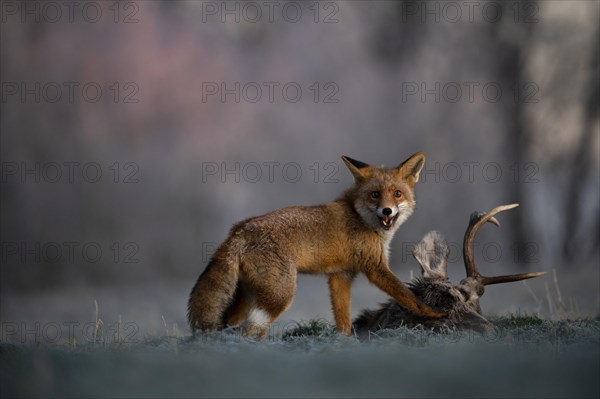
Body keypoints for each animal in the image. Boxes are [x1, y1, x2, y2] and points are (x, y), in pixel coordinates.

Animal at [188, 152, 446, 340]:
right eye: (375, 194)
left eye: (397, 194)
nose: (387, 211)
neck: (359, 217)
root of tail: (238, 229)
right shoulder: (375, 268)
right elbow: (408, 296)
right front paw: (434, 314)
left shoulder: (341, 276)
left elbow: (343, 319)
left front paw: (345, 342)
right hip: (280, 295)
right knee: (250, 329)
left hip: (251, 294)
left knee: (230, 322)